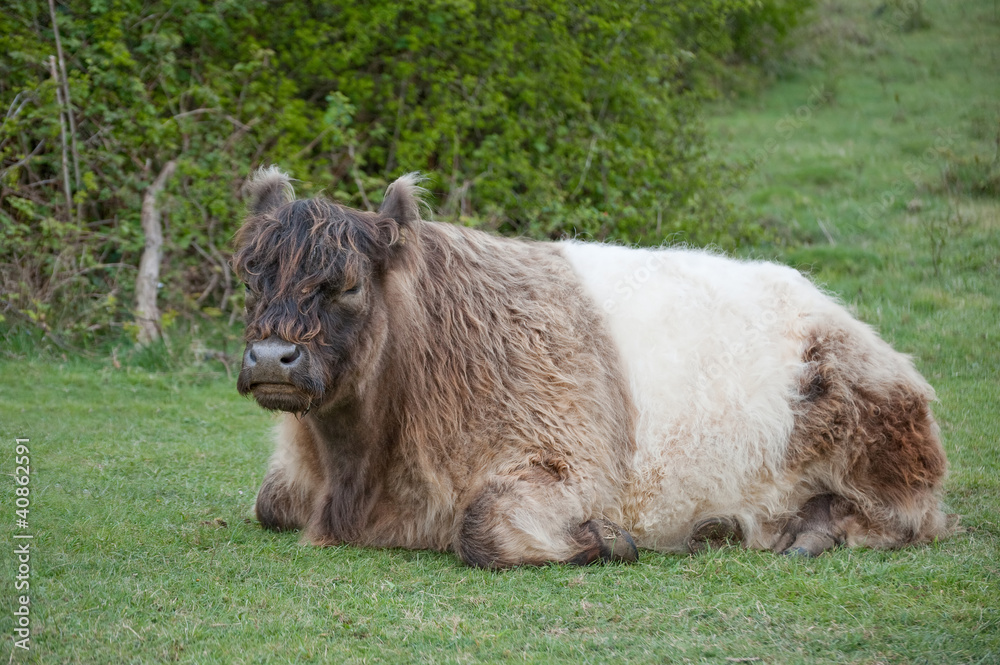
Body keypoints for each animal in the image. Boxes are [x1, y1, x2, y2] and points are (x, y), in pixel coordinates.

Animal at [232, 167, 954, 569]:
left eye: (348, 285)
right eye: (250, 273)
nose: (271, 357)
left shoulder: (566, 462)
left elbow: (482, 529)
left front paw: (607, 540)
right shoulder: (291, 483)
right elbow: (269, 503)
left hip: (874, 439)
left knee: (908, 518)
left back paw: (808, 531)